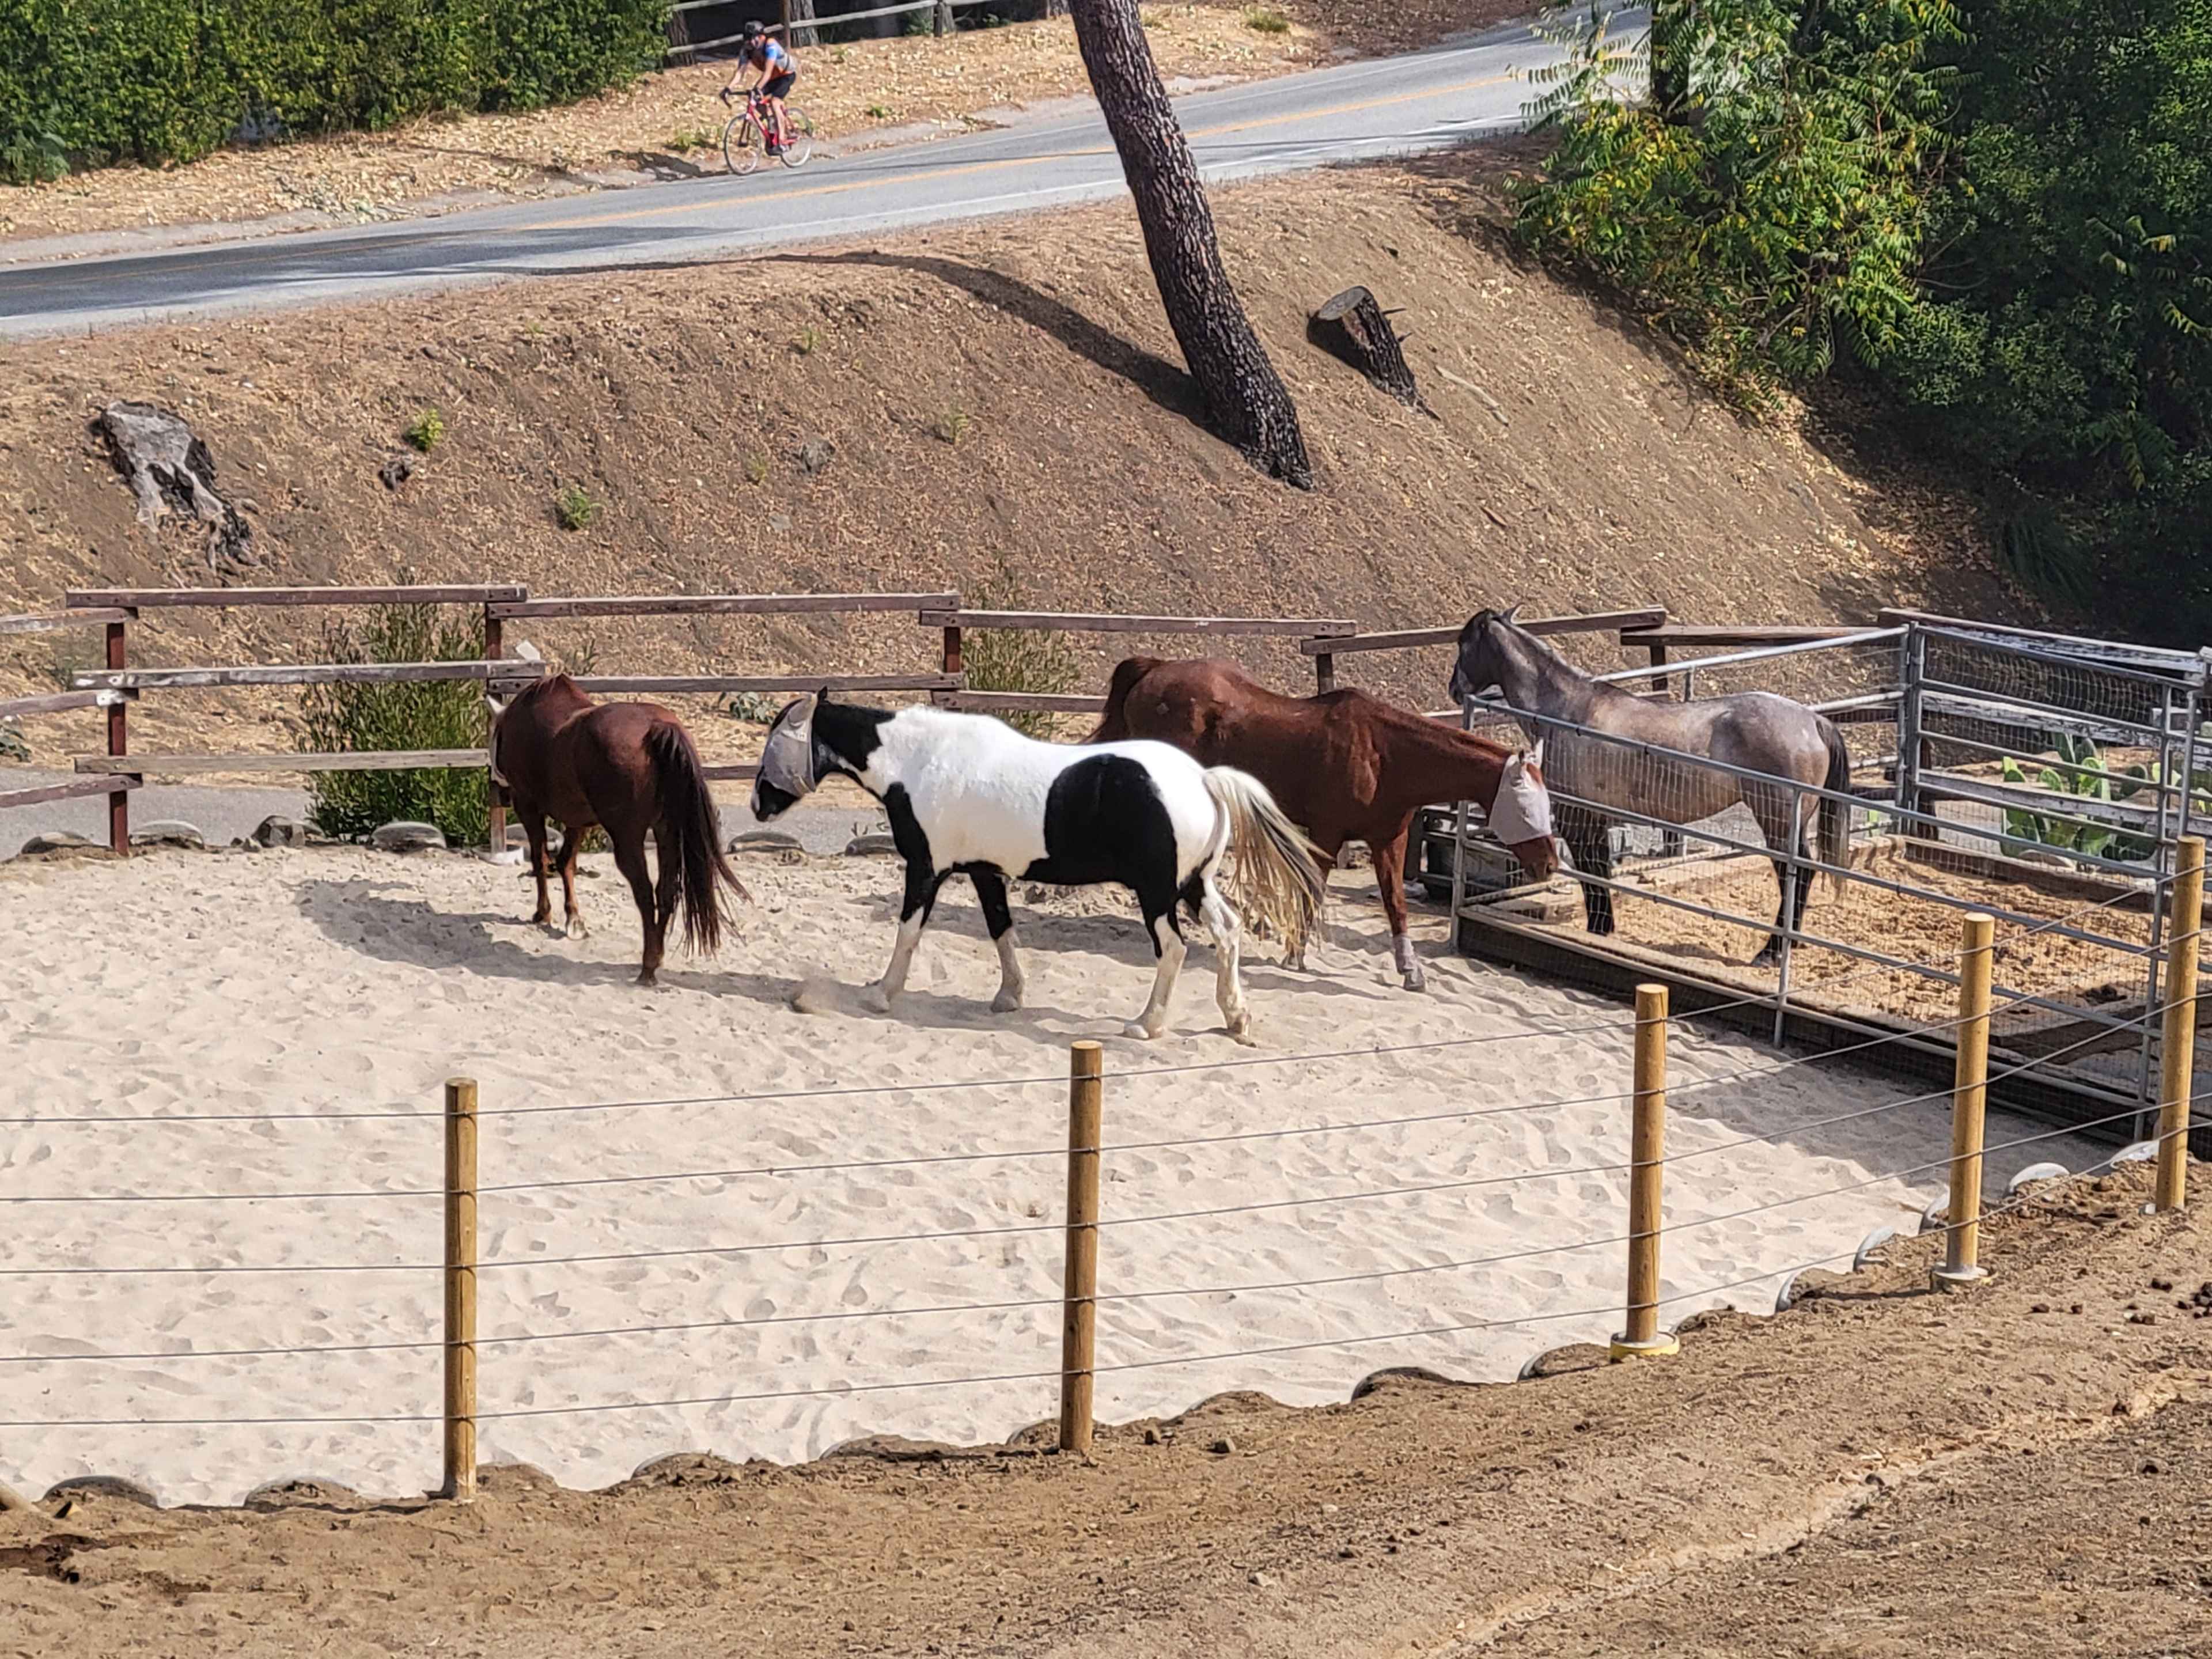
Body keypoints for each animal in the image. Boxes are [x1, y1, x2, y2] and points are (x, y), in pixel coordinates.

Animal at [485, 674, 749, 985]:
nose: (496, 781)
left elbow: (542, 861)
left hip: (628, 838)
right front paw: (574, 920)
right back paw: (657, 955)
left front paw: (544, 913)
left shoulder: (528, 806)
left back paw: (648, 966)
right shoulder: (577, 819)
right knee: (666, 891)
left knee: (645, 894)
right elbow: (566, 863)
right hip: (667, 832)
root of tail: (657, 728)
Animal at [747, 692, 1326, 1044]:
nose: (757, 805)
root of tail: (1203, 779)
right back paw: (1236, 1018)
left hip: (1157, 893)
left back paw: (1146, 1024)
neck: (921, 762)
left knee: (1175, 949)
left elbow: (909, 932)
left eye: (776, 741)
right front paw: (1009, 996)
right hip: (1193, 886)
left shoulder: (926, 868)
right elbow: (1002, 930)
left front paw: (880, 994)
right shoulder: (984, 871)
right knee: (1228, 933)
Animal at [1087, 657, 1559, 990]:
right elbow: (1312, 891)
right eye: (1527, 807)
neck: (1384, 755)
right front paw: (1294, 954)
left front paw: (1411, 971)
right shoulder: (1328, 835)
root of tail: (1153, 672)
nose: (1550, 866)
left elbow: (1395, 904)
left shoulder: (1388, 840)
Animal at [1447, 607, 1852, 964]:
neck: (1566, 712)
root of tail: (1813, 721)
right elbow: (1601, 871)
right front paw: (1604, 928)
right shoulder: (1596, 816)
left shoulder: (1576, 815)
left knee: (1795, 874)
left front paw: (1598, 929)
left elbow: (1592, 874)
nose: (1454, 689)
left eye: (1464, 643)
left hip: (1778, 821)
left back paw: (1771, 952)